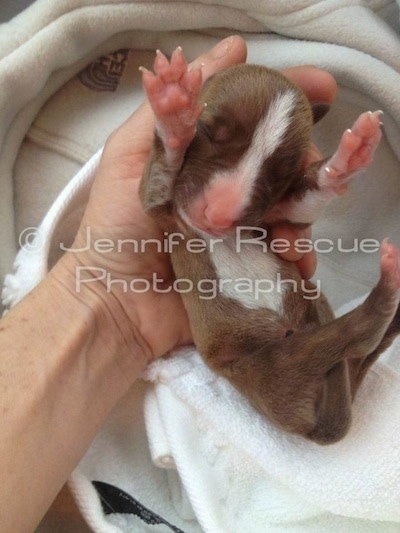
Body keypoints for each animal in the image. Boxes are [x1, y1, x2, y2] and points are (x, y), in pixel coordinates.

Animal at [138, 48, 400, 444]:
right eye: (206, 130)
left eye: (280, 174)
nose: (219, 214)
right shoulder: (159, 205)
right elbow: (162, 169)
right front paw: (172, 106)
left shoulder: (275, 216)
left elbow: (302, 204)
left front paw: (344, 162)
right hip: (271, 368)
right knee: (351, 339)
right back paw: (387, 290)